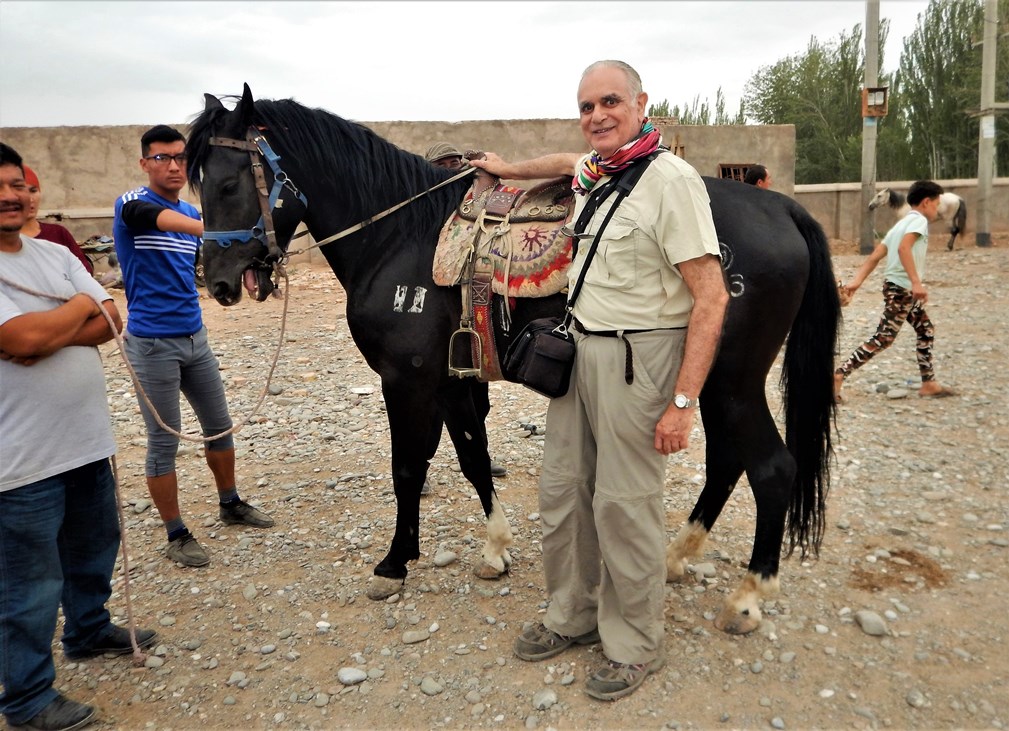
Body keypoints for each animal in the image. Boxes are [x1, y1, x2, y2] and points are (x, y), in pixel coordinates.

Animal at [189, 87, 843, 634]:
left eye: (228, 185)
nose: (216, 282)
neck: (399, 235)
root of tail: (783, 211)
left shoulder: (407, 381)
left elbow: (409, 469)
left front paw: (395, 563)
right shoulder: (454, 379)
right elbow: (473, 458)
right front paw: (495, 549)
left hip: (732, 382)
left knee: (772, 469)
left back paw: (748, 597)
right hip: (711, 383)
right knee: (730, 462)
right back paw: (678, 557)